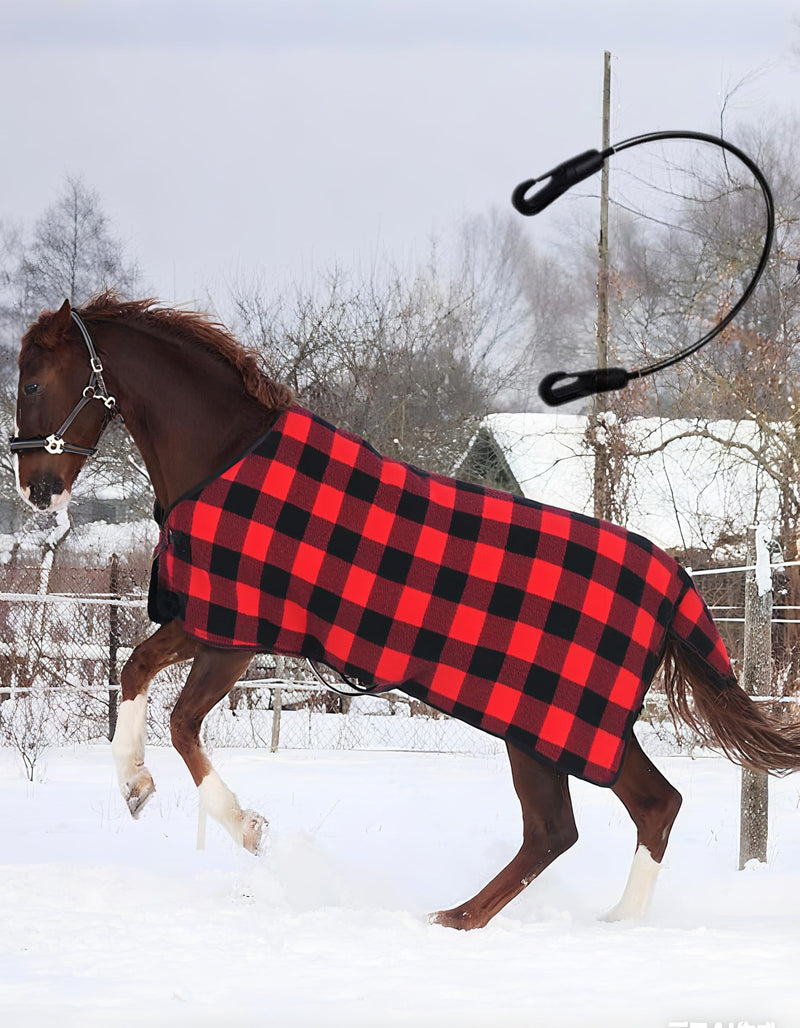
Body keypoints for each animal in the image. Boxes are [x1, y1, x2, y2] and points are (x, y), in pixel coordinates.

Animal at [11, 294, 800, 930]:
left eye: (31, 381)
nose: (35, 490)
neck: (225, 458)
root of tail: (671, 581)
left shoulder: (231, 632)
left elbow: (174, 715)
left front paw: (243, 827)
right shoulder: (214, 624)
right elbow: (137, 674)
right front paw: (138, 788)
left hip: (550, 731)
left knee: (609, 817)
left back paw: (548, 923)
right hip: (554, 731)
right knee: (592, 822)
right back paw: (492, 917)